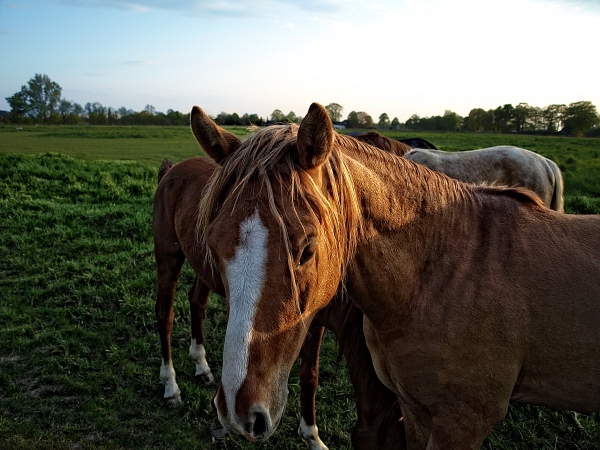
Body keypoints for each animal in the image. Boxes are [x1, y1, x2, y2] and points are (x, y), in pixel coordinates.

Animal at [152, 156, 406, 448]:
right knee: (165, 315)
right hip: (168, 256)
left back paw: (201, 365)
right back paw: (171, 386)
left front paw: (311, 435)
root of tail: (173, 170)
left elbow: (310, 375)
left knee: (197, 302)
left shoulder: (315, 321)